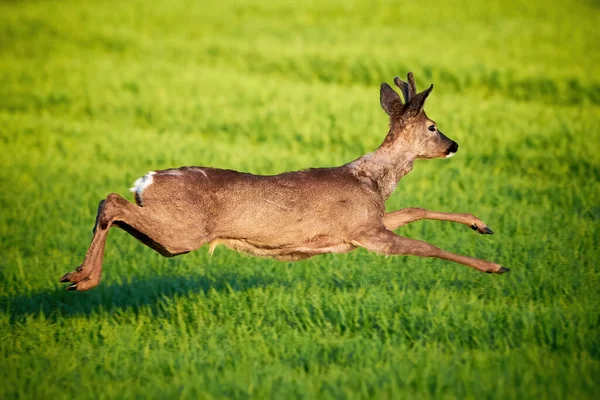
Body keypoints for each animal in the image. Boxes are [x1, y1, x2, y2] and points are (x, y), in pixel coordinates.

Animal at [61, 72, 508, 290]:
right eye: (433, 126)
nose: (454, 145)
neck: (375, 180)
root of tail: (147, 181)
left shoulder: (365, 225)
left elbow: (414, 208)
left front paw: (482, 225)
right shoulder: (366, 232)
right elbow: (426, 247)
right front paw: (495, 265)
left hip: (169, 235)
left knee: (114, 208)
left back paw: (76, 276)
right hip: (183, 232)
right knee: (111, 201)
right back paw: (83, 278)